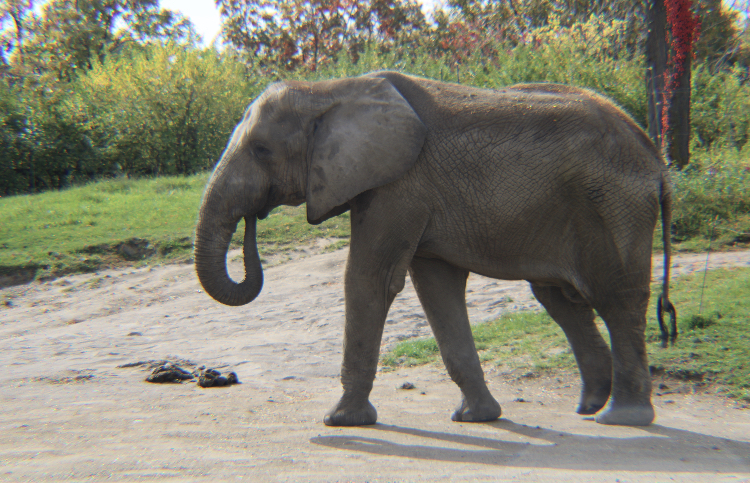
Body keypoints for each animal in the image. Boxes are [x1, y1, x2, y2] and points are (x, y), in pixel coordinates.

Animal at [194, 71, 676, 427]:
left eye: (261, 149)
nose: (254, 218)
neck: (328, 90)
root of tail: (656, 158)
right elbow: (436, 289)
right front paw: (477, 418)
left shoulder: (399, 185)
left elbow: (368, 280)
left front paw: (341, 421)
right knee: (561, 301)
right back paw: (589, 408)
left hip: (613, 206)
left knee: (616, 300)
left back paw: (622, 418)